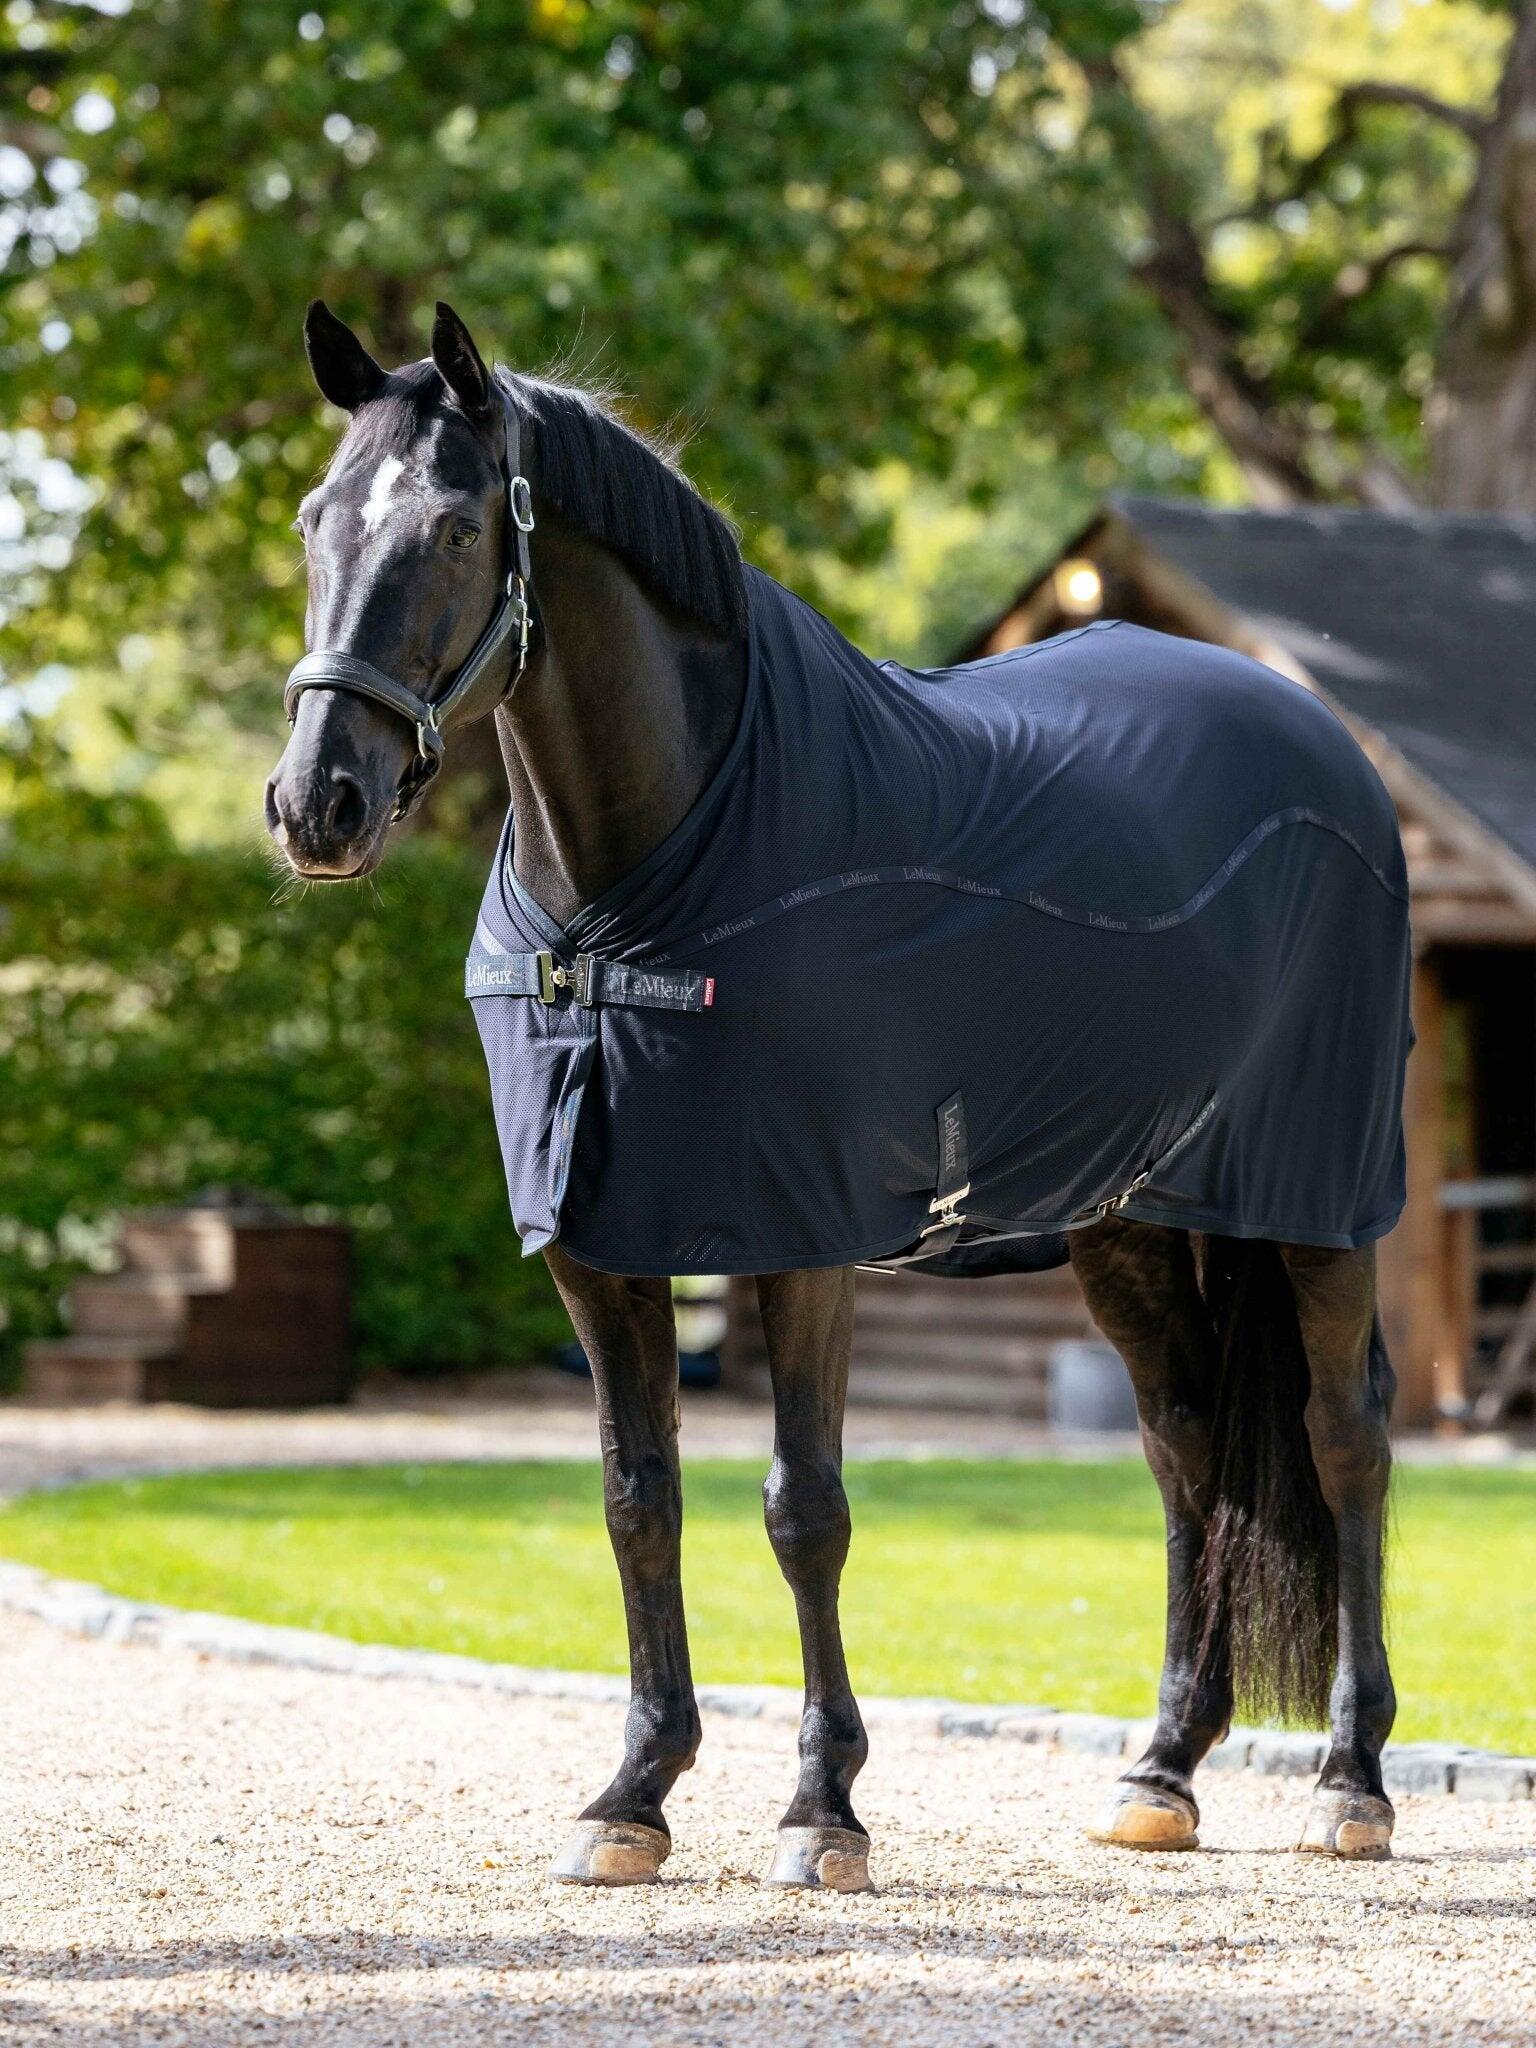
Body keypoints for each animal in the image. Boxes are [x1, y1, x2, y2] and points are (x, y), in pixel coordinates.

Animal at [266, 300, 1407, 1889]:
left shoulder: (800, 1232)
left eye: (450, 529)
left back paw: (1352, 1781)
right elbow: (638, 1502)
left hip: (1317, 1207)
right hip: (1131, 1221)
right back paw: (1161, 1772)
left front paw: (823, 1809)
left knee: (1344, 1440)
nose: (318, 805)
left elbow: (804, 1510)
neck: (645, 884)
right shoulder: (597, 1246)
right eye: (316, 520)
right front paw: (634, 1792)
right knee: (1187, 1452)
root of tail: (1327, 753)